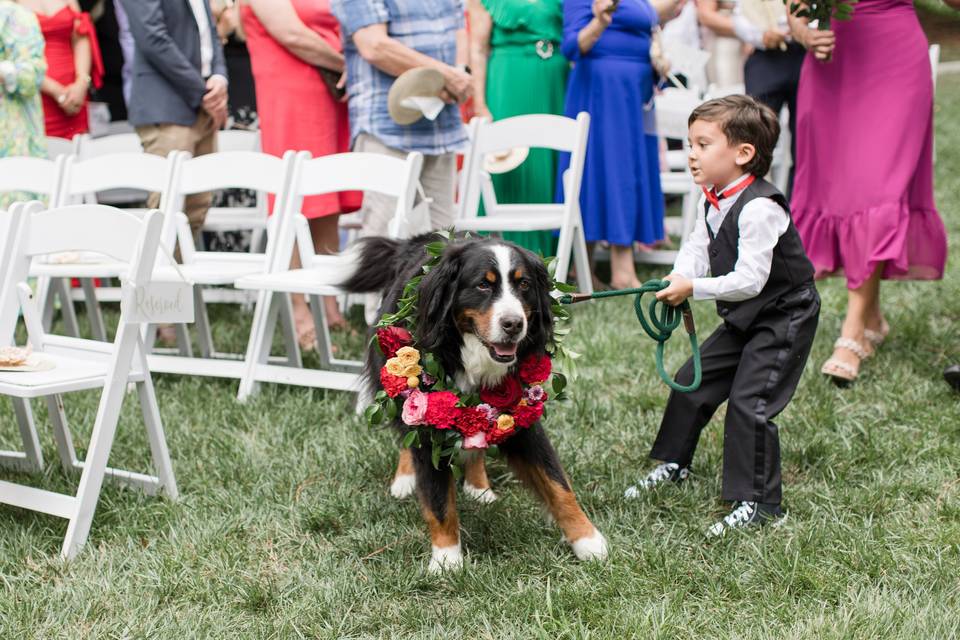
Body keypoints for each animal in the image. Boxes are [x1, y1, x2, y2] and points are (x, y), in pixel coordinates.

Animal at [342, 234, 604, 568]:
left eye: (524, 284)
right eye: (482, 285)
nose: (514, 324)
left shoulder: (522, 415)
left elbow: (558, 484)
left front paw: (588, 541)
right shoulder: (428, 421)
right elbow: (439, 500)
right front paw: (446, 560)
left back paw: (479, 487)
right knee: (404, 432)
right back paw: (405, 478)